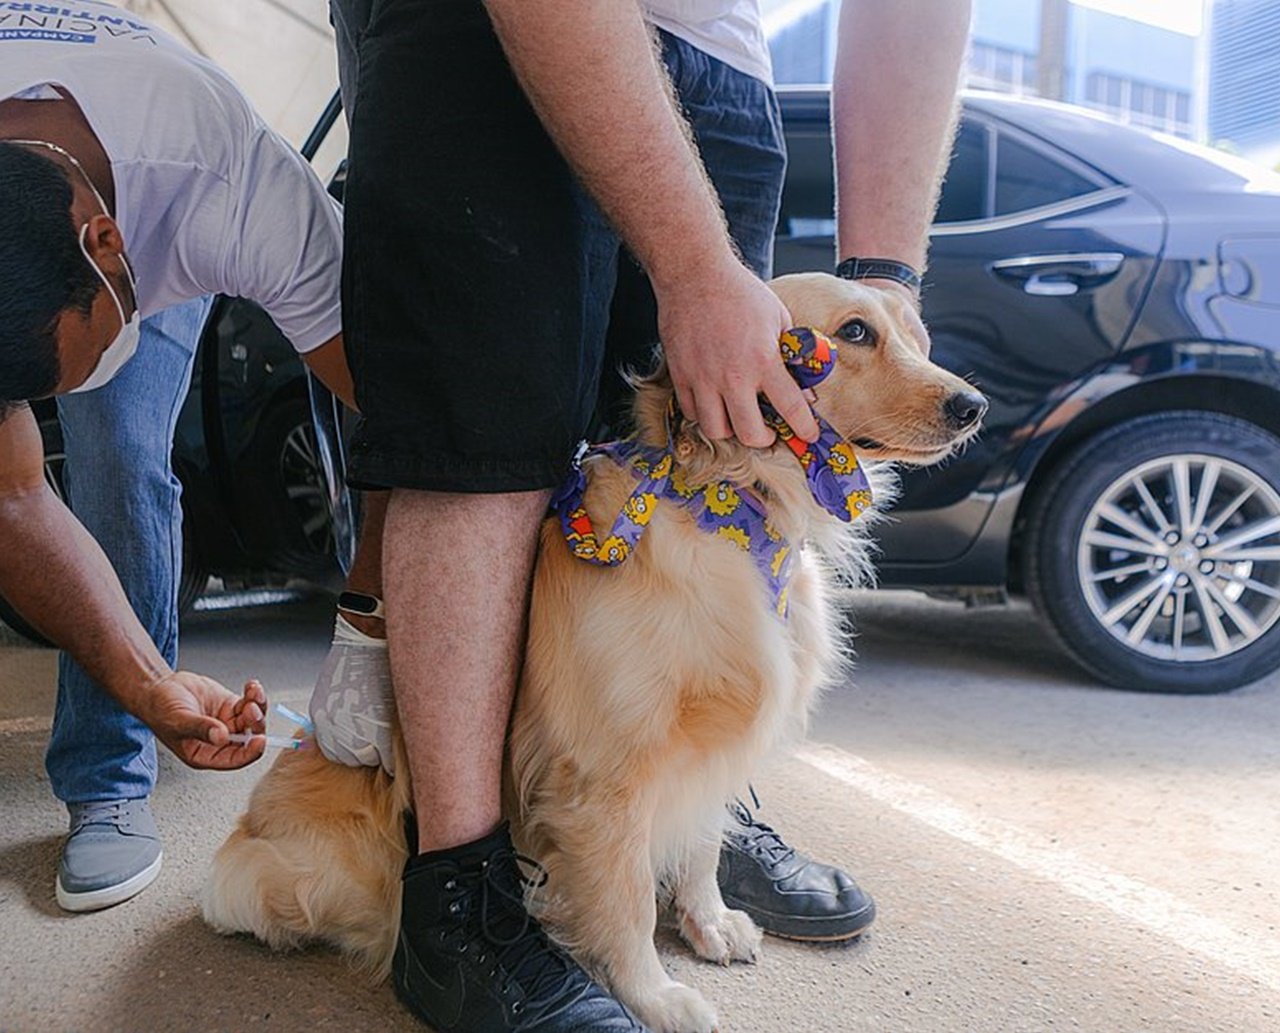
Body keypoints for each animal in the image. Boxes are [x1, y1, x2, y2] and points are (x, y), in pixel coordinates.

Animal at [204, 275, 983, 1033]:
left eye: (916, 337)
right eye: (854, 333)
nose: (972, 406)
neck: (727, 511)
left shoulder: (711, 749)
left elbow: (702, 841)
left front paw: (708, 922)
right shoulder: (605, 774)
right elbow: (629, 896)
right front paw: (653, 995)